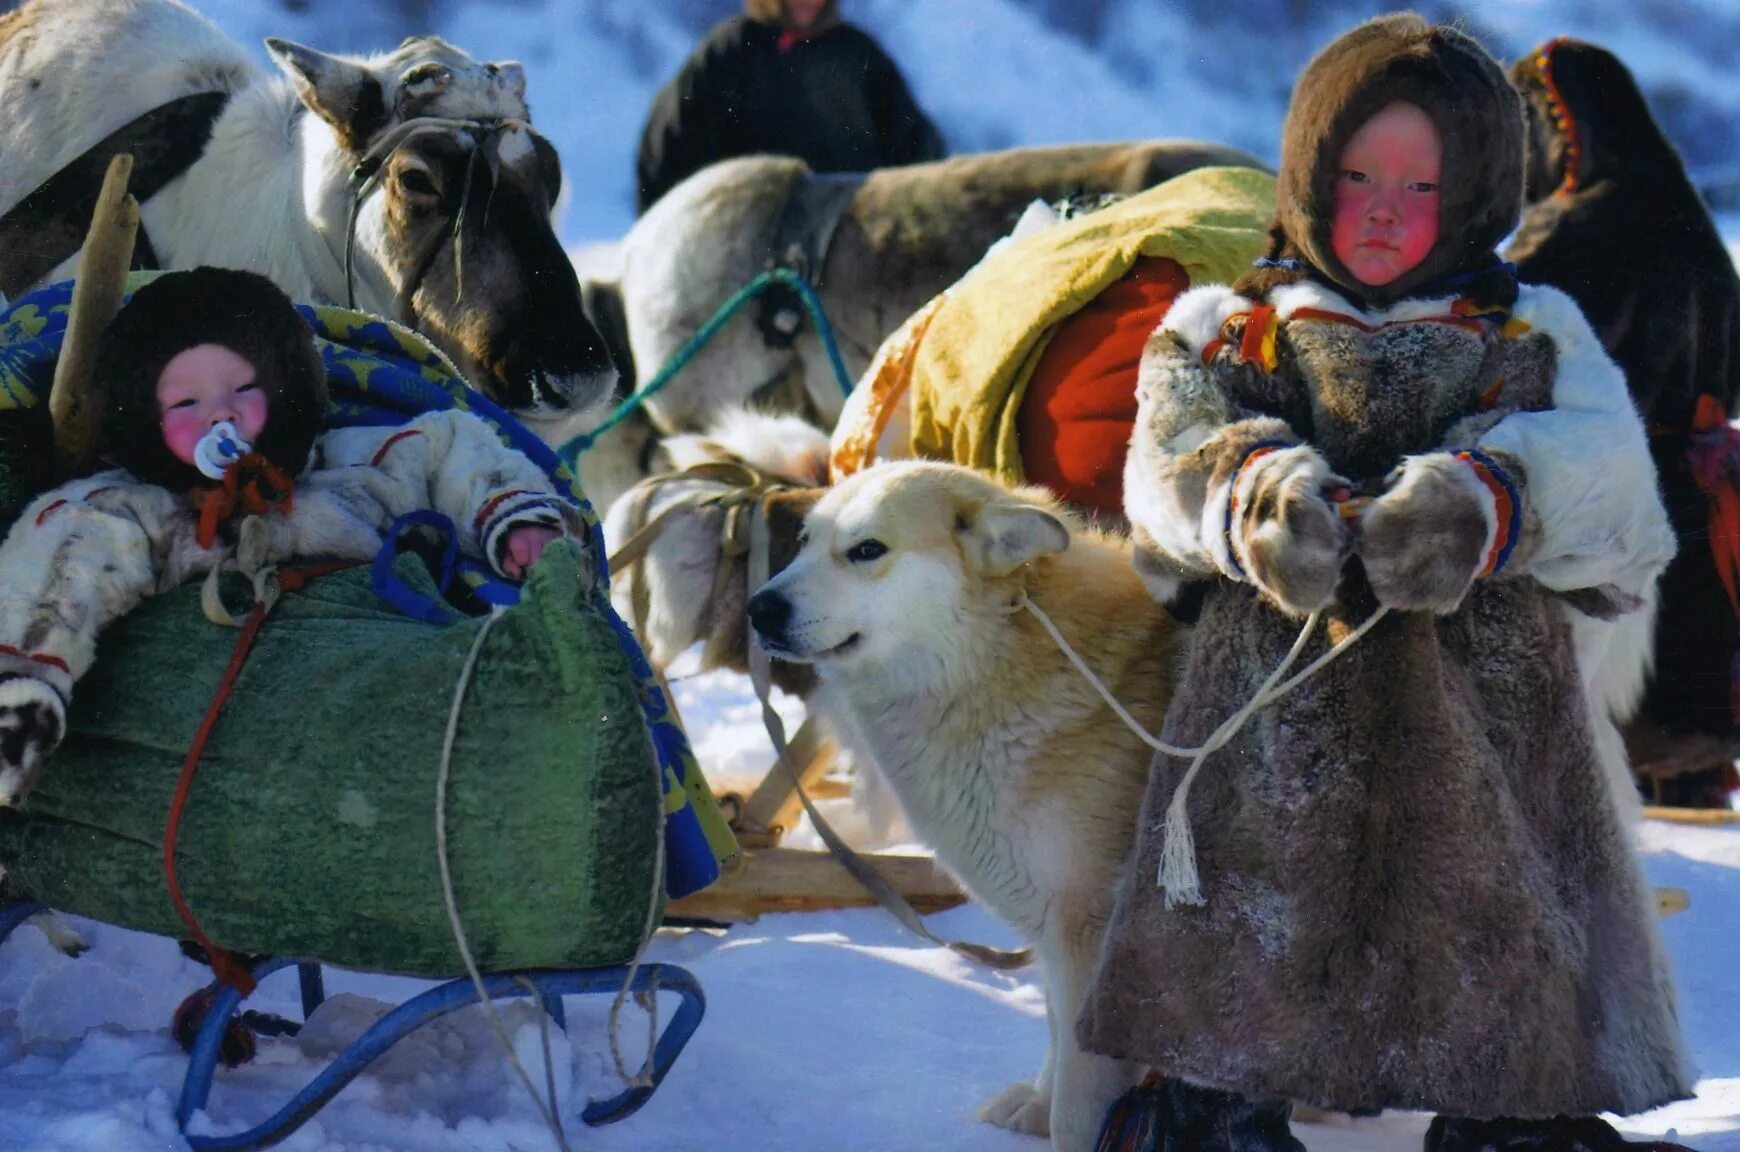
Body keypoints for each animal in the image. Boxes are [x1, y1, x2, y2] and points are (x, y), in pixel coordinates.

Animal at [748, 459, 1183, 1152]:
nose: (758, 609)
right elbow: (1057, 1034)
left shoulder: (1091, 936)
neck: (997, 658)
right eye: (805, 543)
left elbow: (1080, 1100)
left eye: (866, 550)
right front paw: (1036, 1105)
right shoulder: (1057, 935)